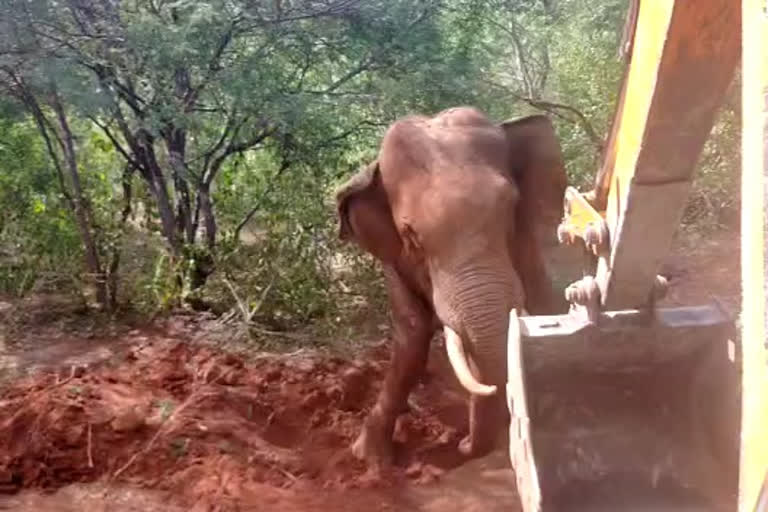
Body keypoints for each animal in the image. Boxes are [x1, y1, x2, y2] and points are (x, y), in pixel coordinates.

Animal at [332, 106, 568, 466]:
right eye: (411, 236)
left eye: (510, 209)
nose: (463, 444)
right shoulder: (394, 263)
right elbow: (411, 336)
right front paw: (371, 458)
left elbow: (544, 307)